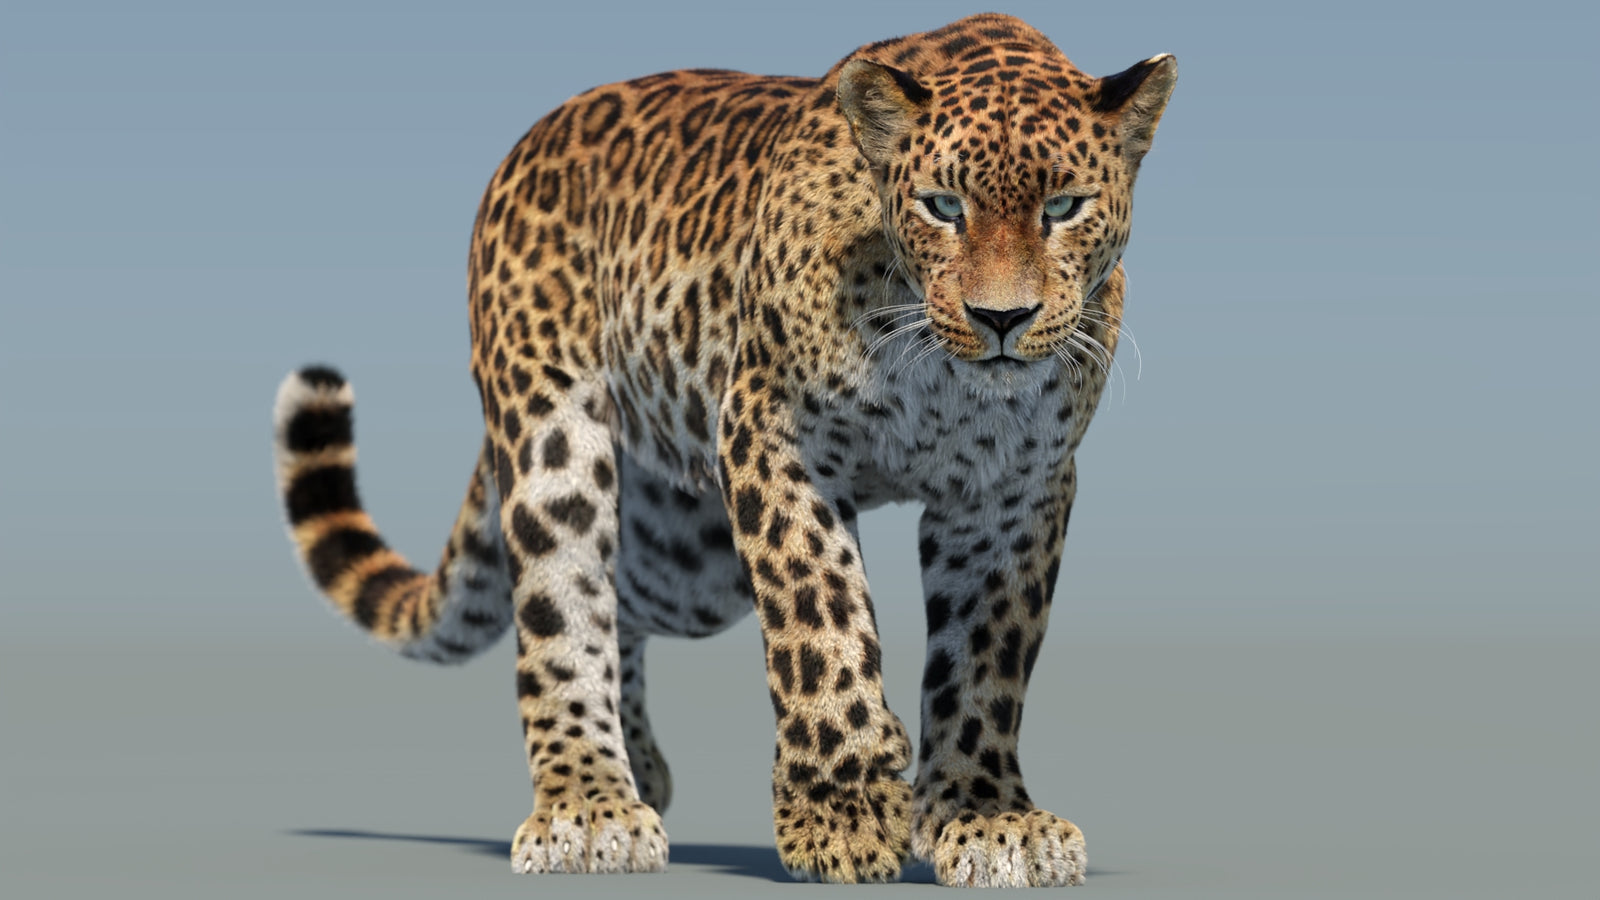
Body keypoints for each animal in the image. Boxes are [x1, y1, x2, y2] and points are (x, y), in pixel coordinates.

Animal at [272, 12, 1174, 887]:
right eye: (942, 207)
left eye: (1064, 206)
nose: (1001, 319)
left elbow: (986, 659)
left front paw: (984, 817)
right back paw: (589, 804)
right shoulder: (772, 432)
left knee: (622, 605)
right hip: (556, 438)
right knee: (563, 611)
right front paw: (843, 814)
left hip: (688, 556)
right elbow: (820, 613)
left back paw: (638, 767)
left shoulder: (1012, 490)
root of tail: (529, 143)